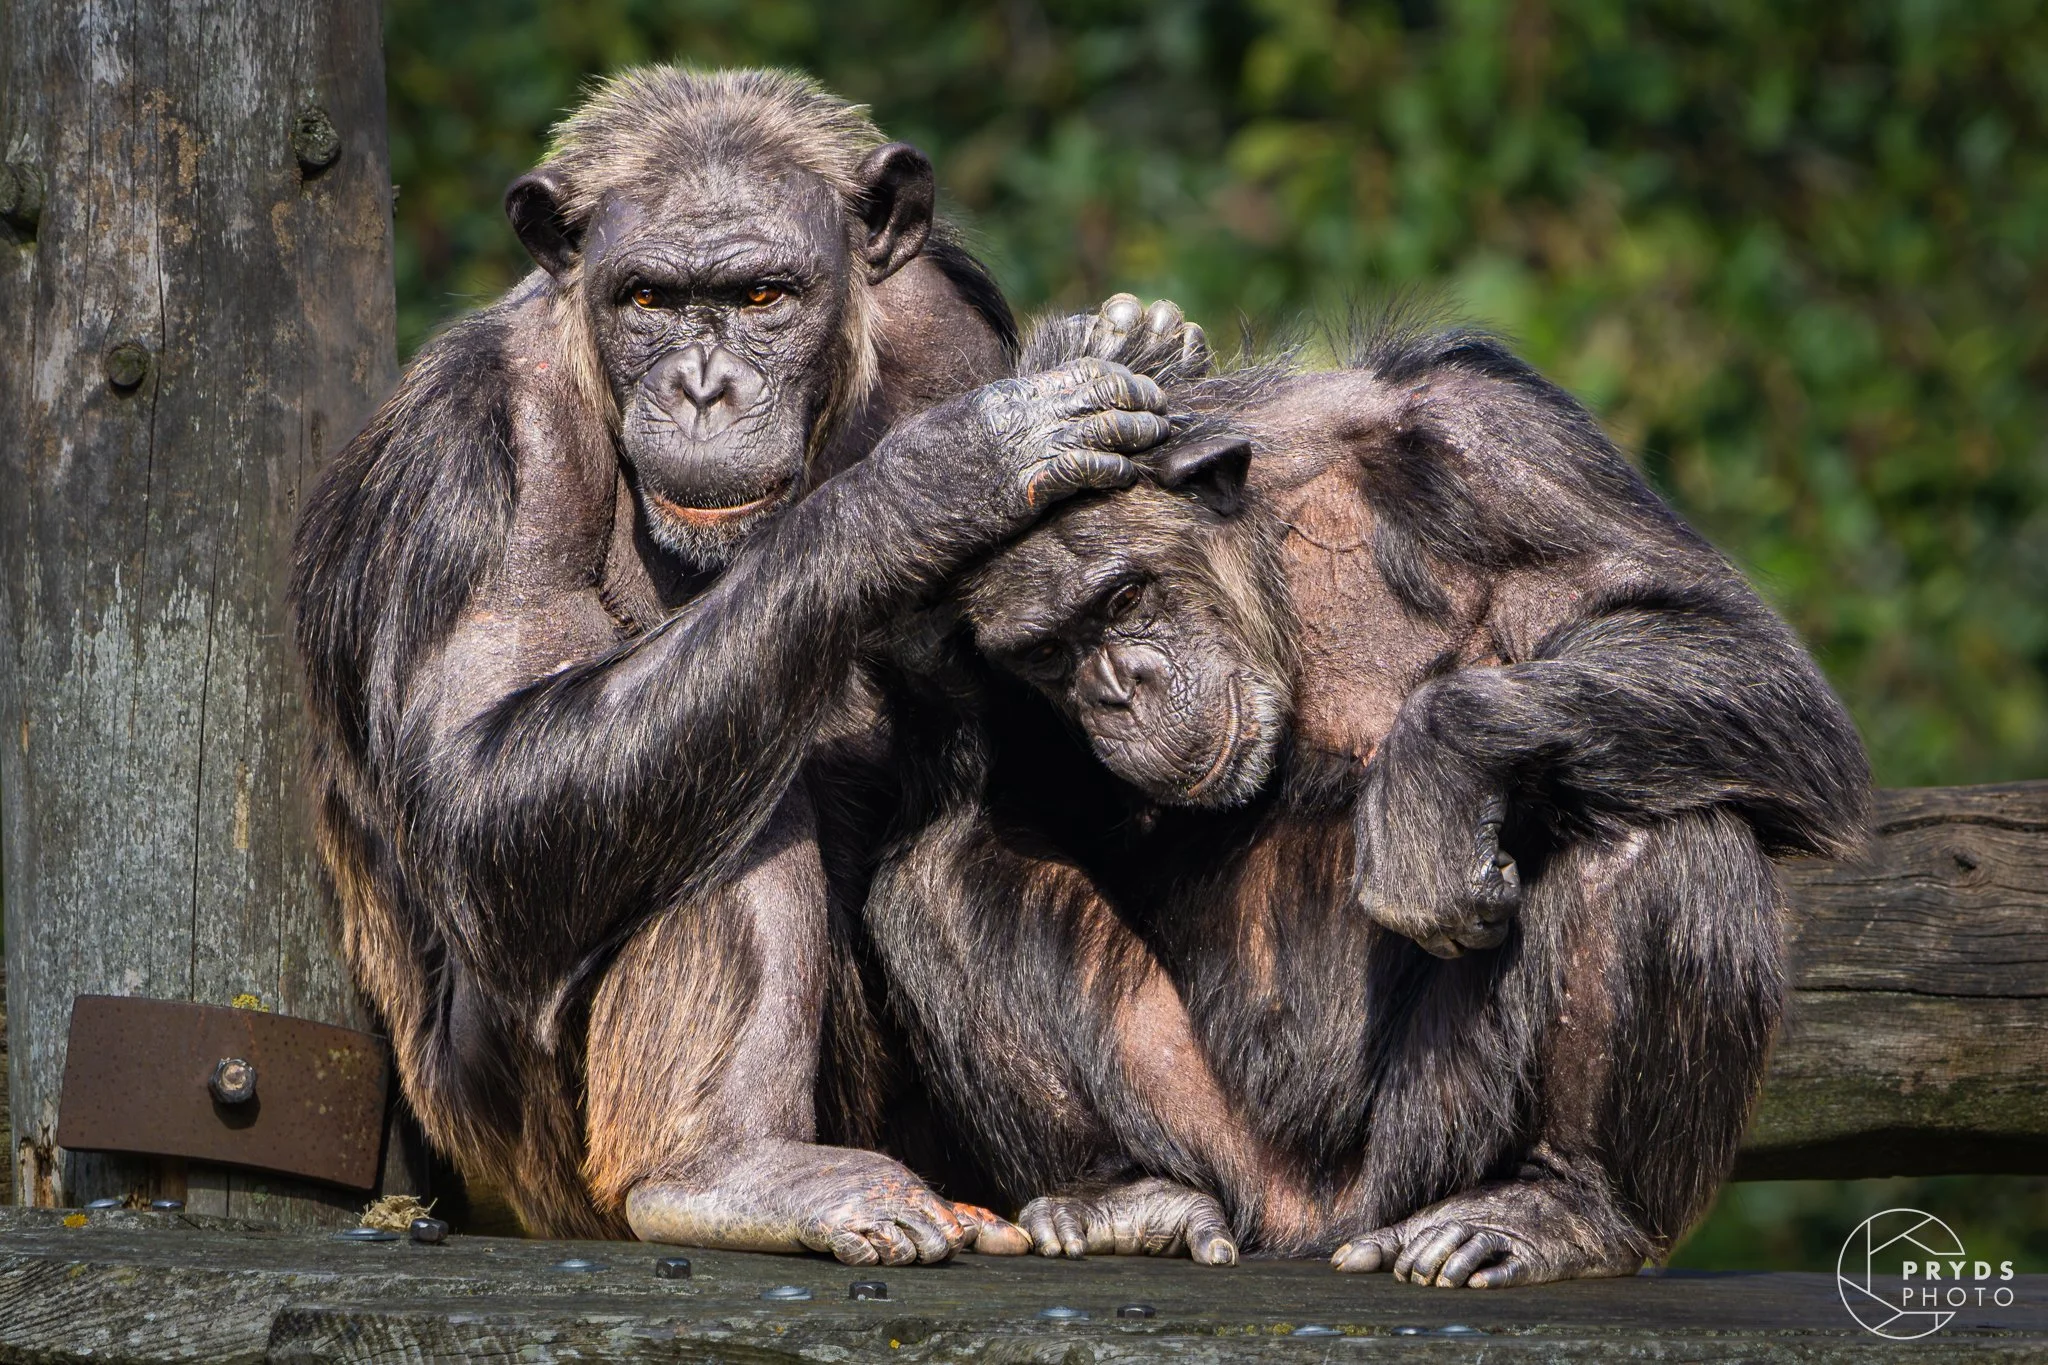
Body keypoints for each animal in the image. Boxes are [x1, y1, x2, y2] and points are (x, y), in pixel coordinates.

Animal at [288, 66, 1183, 1263]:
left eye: (762, 297)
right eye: (649, 300)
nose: (703, 384)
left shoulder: (943, 322)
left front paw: (1146, 343)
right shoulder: (482, 443)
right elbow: (482, 793)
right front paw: (936, 482)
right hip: (521, 1145)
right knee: (712, 776)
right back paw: (731, 1172)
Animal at [859, 308, 1870, 1284]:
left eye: (1123, 598)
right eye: (1046, 650)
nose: (1117, 688)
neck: (1273, 553)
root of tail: (1313, 1230)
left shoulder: (1499, 442)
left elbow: (1731, 645)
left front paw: (1433, 772)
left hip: (1429, 1148)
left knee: (1660, 834)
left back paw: (1563, 1207)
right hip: (1216, 1147)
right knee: (942, 870)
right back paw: (1122, 1196)